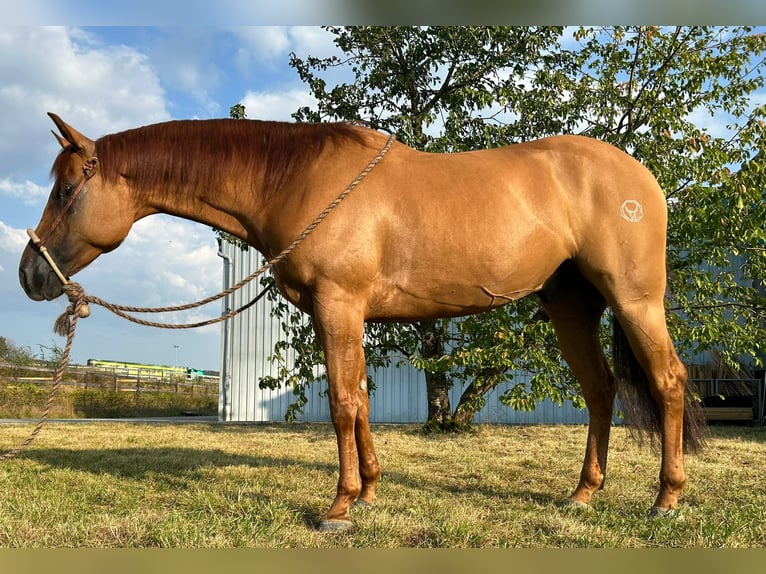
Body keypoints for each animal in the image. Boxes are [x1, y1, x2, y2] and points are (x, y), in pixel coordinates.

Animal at [18, 115, 704, 532]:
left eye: (65, 191)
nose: (29, 275)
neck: (296, 181)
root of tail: (643, 179)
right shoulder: (346, 314)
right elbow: (363, 399)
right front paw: (369, 489)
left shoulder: (339, 306)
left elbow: (343, 402)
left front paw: (340, 506)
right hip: (571, 306)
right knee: (601, 390)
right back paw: (584, 493)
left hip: (635, 301)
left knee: (667, 382)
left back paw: (667, 498)